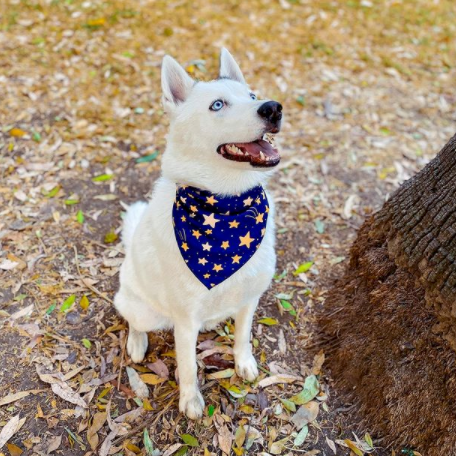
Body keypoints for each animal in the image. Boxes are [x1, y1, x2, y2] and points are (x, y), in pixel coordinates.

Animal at [115, 48, 282, 418]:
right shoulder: (185, 320)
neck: (227, 206)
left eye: (252, 96)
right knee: (132, 319)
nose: (273, 107)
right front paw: (190, 401)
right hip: (143, 308)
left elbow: (243, 337)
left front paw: (243, 363)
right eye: (217, 105)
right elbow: (189, 365)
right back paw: (136, 341)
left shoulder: (249, 298)